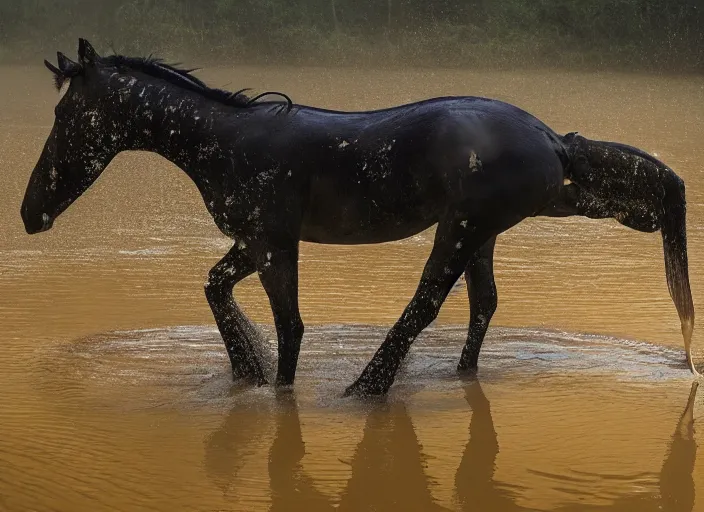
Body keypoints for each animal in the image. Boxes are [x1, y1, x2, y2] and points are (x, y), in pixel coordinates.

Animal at [19, 40, 696, 396]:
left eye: (65, 117)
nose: (29, 214)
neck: (223, 141)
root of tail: (552, 140)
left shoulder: (274, 244)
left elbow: (291, 327)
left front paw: (274, 386)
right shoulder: (255, 242)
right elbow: (215, 289)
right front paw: (245, 367)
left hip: (464, 228)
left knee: (425, 303)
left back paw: (366, 387)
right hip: (496, 227)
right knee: (485, 303)